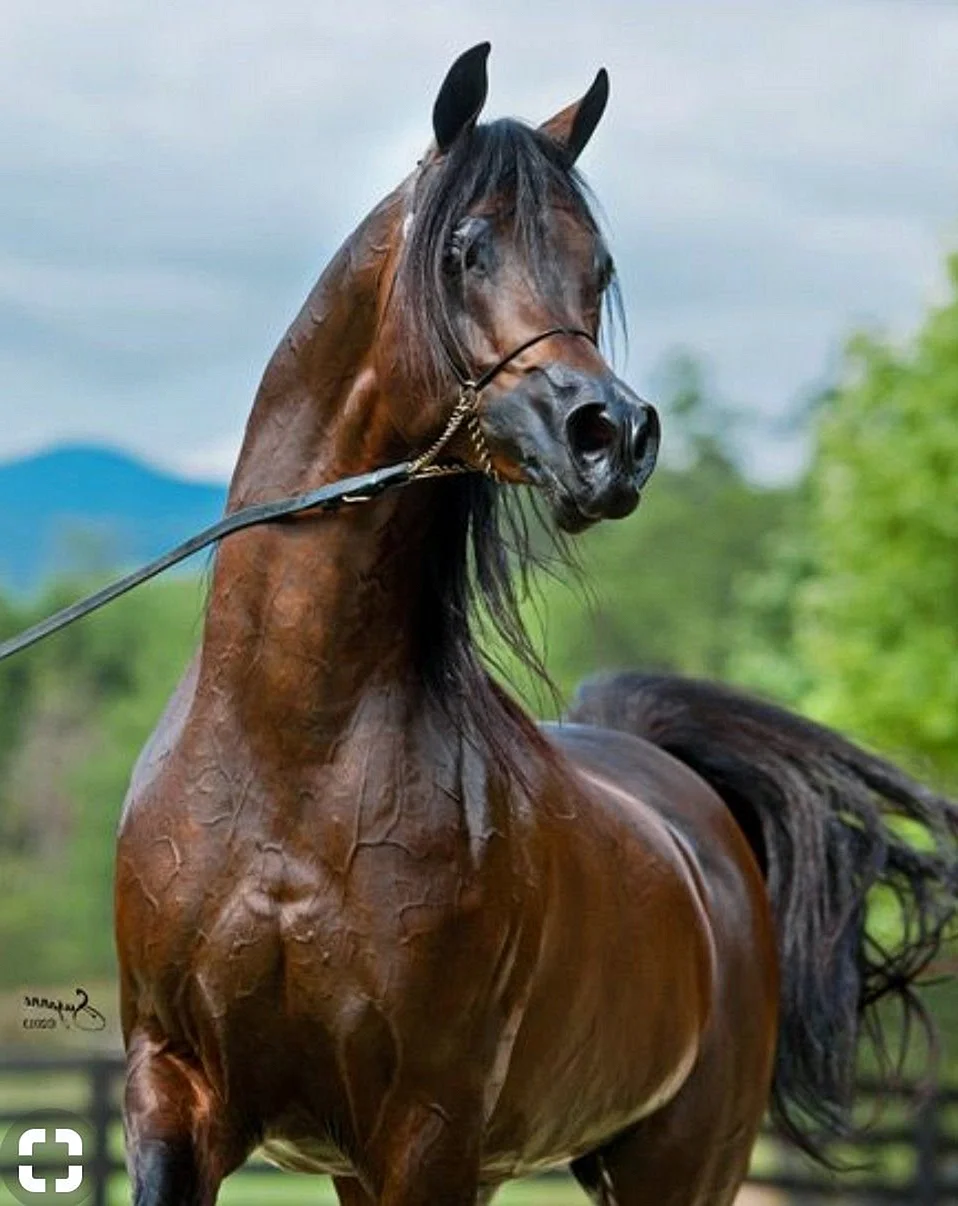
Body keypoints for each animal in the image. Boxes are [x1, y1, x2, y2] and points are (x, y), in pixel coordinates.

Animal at [114, 42, 955, 1201]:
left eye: (597, 270)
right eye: (463, 250)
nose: (612, 437)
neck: (290, 760)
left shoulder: (426, 1128)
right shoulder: (177, 1096)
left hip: (674, 1163)